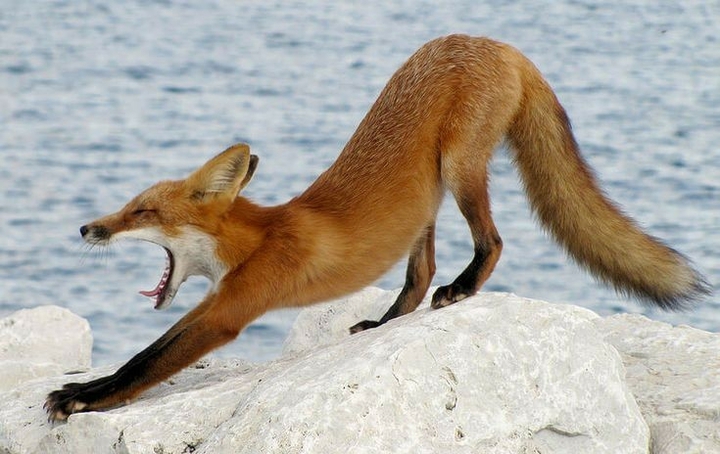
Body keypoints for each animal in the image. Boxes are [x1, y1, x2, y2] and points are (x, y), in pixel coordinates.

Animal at [45, 34, 709, 421]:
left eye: (142, 213)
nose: (85, 229)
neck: (258, 236)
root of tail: (494, 41)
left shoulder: (229, 309)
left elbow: (147, 361)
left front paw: (83, 396)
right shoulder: (222, 300)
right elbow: (147, 354)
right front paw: (84, 390)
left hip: (458, 167)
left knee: (491, 243)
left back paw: (463, 289)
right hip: (427, 199)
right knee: (422, 270)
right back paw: (386, 321)